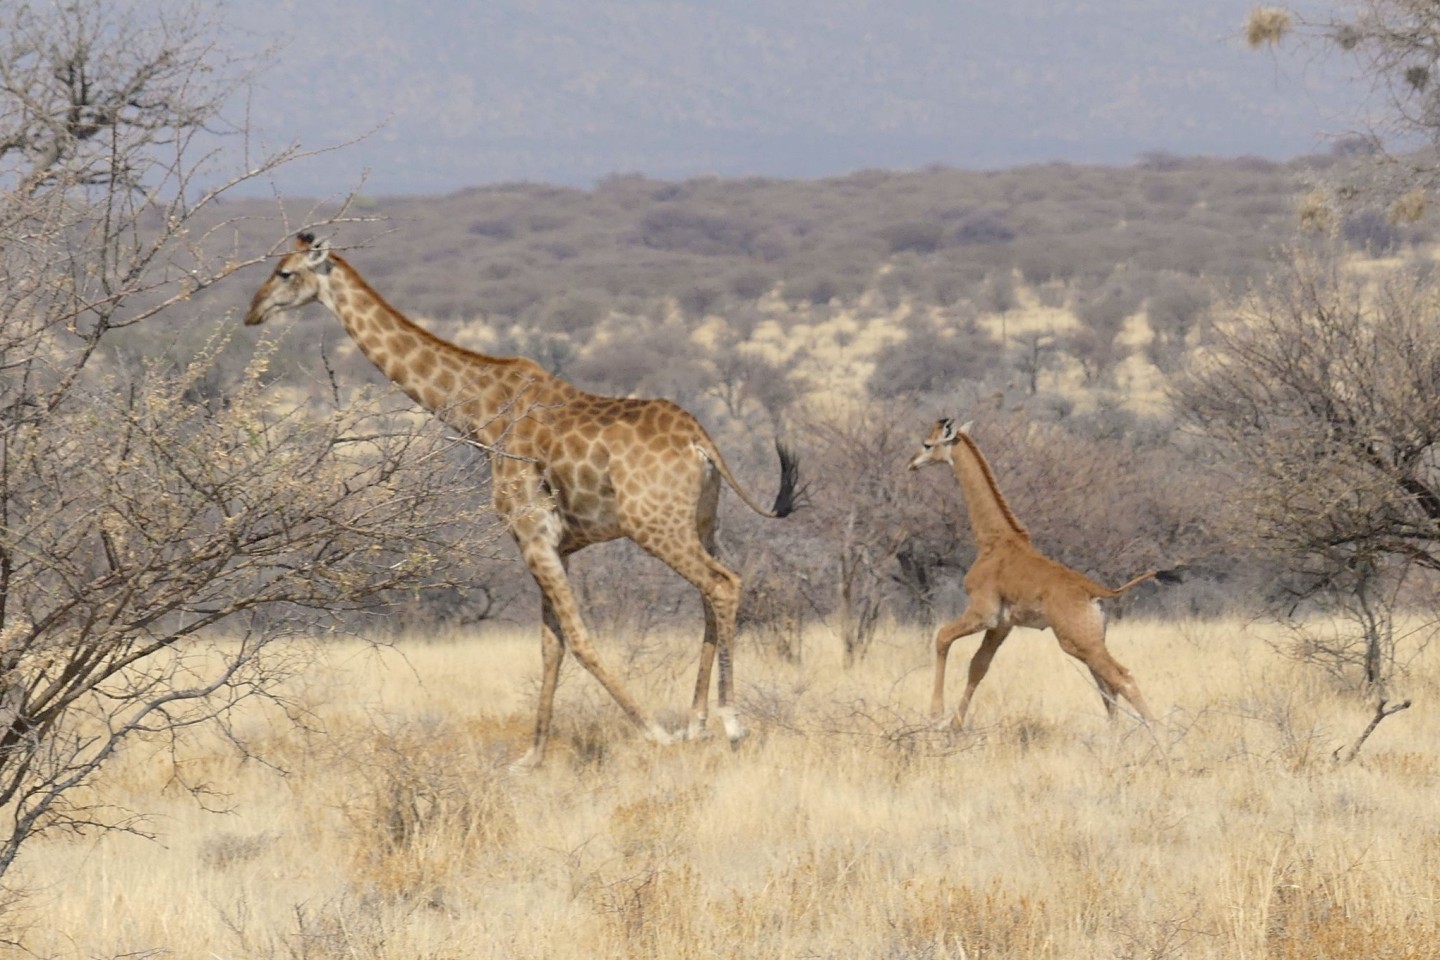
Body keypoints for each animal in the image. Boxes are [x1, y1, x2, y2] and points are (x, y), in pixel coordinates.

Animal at [244, 230, 800, 765]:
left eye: (285, 272)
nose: (252, 312)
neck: (479, 413)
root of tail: (700, 441)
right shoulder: (557, 544)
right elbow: (551, 645)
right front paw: (532, 757)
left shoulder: (530, 534)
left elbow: (577, 638)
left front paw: (654, 735)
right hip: (703, 521)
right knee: (710, 593)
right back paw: (697, 723)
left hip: (655, 524)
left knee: (723, 584)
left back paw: (729, 723)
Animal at [910, 417, 1169, 728]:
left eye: (927, 444)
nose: (912, 463)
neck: (993, 540)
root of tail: (1098, 592)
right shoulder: (1003, 624)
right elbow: (978, 666)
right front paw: (955, 726)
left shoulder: (983, 612)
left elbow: (942, 637)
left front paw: (936, 715)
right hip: (1089, 640)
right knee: (1106, 685)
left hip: (1076, 641)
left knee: (1123, 678)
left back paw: (1159, 733)